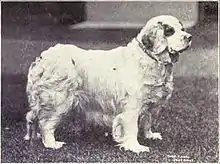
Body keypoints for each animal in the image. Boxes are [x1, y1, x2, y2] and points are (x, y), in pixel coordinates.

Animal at [24, 15, 192, 154]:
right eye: (169, 31)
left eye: (182, 29)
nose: (189, 37)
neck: (151, 59)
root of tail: (43, 58)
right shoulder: (132, 106)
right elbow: (132, 127)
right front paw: (136, 147)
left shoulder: (148, 103)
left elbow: (147, 120)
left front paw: (150, 135)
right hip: (59, 101)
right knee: (46, 123)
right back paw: (51, 143)